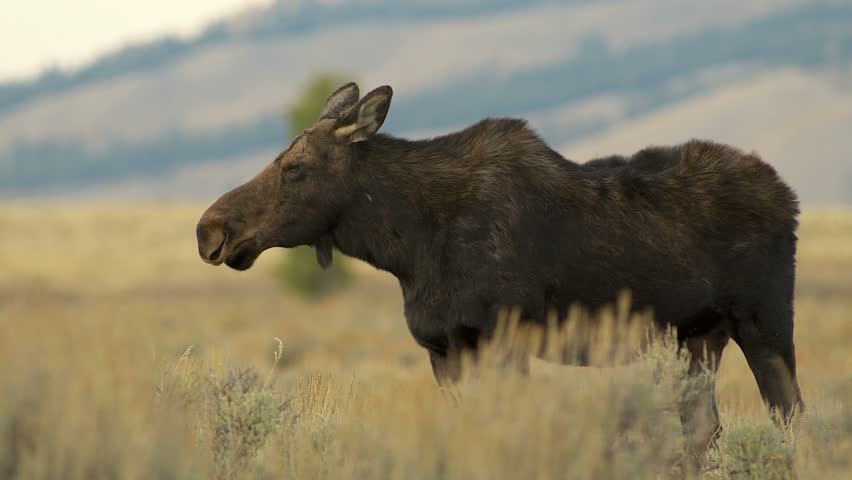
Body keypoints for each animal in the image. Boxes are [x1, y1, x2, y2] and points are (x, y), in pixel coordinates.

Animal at [196, 82, 804, 465]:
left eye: (295, 167)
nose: (210, 229)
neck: (407, 245)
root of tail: (788, 194)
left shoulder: (504, 336)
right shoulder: (443, 349)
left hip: (765, 322)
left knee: (789, 414)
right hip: (698, 338)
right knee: (704, 429)